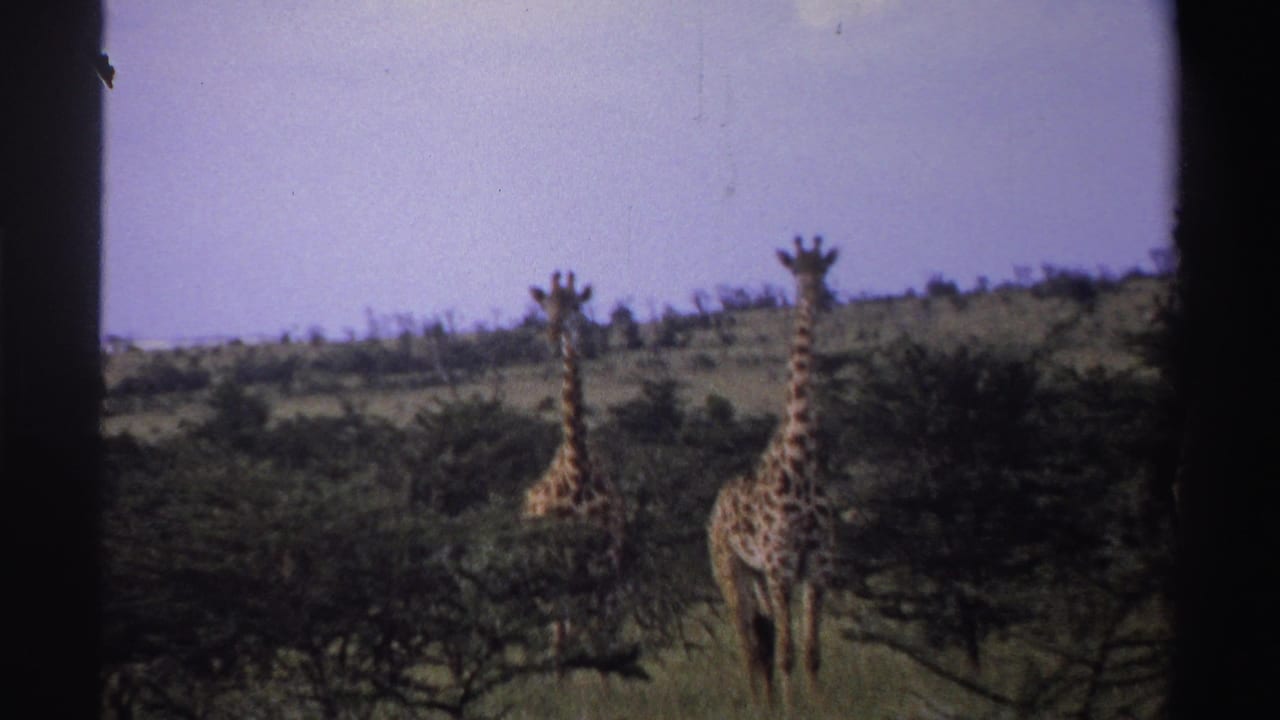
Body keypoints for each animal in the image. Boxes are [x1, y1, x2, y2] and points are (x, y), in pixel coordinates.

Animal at [524, 270, 626, 677]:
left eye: (574, 304)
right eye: (545, 306)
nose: (554, 334)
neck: (578, 471)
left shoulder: (606, 561)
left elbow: (602, 635)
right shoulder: (562, 562)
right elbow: (566, 635)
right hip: (548, 569)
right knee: (559, 630)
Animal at [707, 235, 839, 707]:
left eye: (823, 269)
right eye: (796, 271)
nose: (816, 294)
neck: (799, 461)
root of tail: (715, 507)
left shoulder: (818, 566)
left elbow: (812, 651)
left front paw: (820, 706)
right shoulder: (781, 567)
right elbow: (786, 652)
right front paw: (794, 708)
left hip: (757, 575)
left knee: (761, 639)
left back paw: (767, 698)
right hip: (730, 570)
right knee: (748, 641)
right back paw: (757, 703)